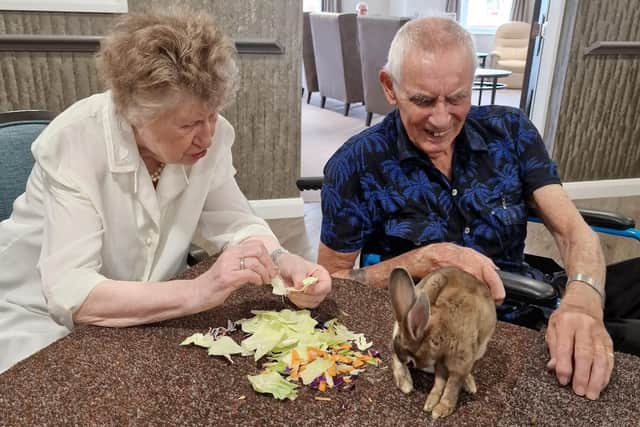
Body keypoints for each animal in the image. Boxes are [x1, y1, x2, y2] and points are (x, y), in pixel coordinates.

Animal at [390, 266, 496, 420]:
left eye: (411, 363)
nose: (411, 367)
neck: (439, 332)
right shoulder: (441, 363)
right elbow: (440, 383)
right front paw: (431, 403)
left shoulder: (460, 363)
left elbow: (451, 385)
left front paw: (440, 409)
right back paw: (405, 383)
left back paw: (470, 385)